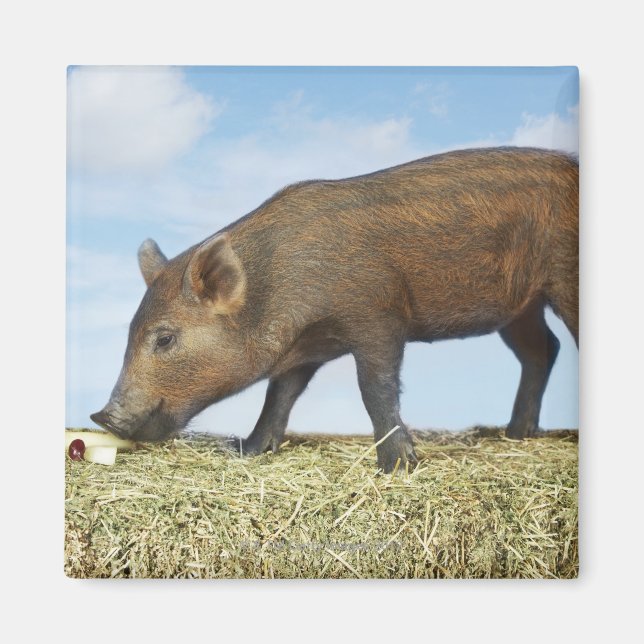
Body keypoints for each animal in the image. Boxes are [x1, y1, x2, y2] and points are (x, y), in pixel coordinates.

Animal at [91, 147, 579, 473]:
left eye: (164, 338)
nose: (102, 416)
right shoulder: (305, 350)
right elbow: (279, 396)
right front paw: (247, 450)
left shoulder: (379, 315)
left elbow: (375, 388)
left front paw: (397, 466)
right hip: (521, 307)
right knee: (543, 349)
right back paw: (514, 434)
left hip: (564, 280)